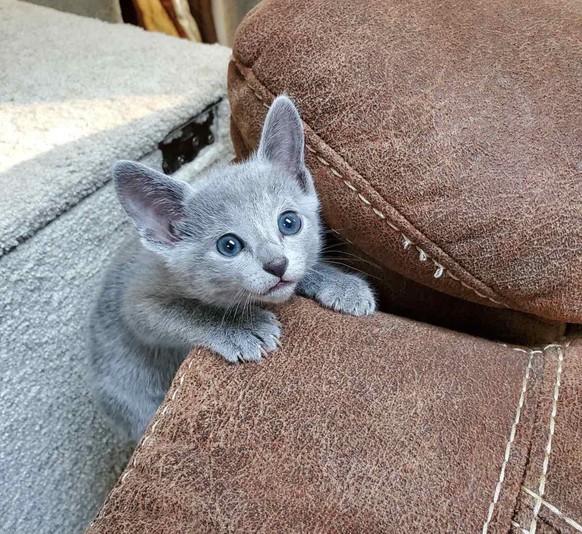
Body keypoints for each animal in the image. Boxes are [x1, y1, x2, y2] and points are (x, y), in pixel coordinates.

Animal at [89, 97, 376, 444]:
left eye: (289, 222)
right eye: (229, 246)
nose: (276, 264)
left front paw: (341, 284)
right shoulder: (138, 303)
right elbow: (186, 311)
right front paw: (242, 328)